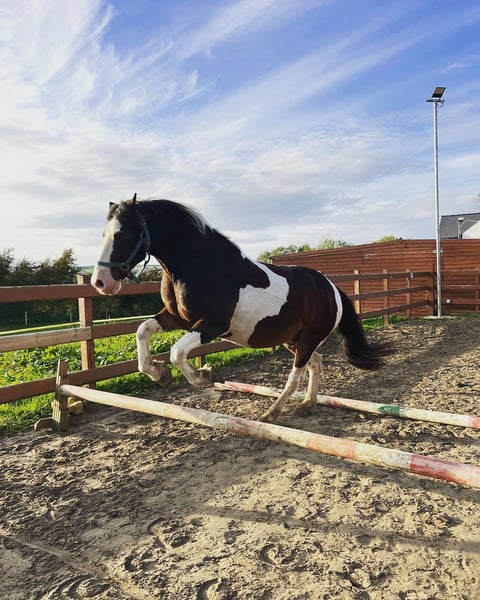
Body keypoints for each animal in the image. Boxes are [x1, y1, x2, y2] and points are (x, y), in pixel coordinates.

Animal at [91, 194, 388, 422]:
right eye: (103, 234)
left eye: (122, 234)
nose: (100, 282)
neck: (199, 266)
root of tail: (331, 288)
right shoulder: (178, 318)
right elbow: (142, 331)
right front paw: (159, 373)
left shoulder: (212, 325)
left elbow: (176, 352)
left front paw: (206, 375)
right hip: (293, 340)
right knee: (316, 363)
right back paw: (307, 404)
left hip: (307, 340)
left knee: (296, 375)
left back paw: (271, 413)